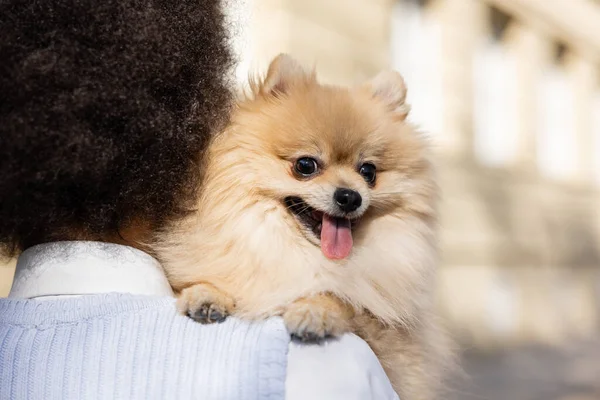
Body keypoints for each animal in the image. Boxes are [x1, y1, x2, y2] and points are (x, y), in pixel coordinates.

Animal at [157, 54, 452, 400]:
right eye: (305, 165)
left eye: (368, 172)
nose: (350, 196)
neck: (300, 252)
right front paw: (206, 293)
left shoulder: (395, 345)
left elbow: (347, 301)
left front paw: (315, 310)